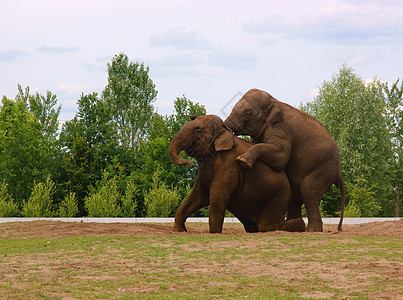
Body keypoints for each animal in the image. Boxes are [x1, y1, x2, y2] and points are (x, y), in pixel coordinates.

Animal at [168, 113, 306, 233]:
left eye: (198, 131)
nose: (191, 164)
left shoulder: (229, 164)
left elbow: (218, 195)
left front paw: (214, 233)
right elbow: (198, 195)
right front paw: (179, 231)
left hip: (277, 198)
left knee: (267, 226)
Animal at [226, 89, 346, 232]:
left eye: (248, 113)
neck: (275, 101)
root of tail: (338, 172)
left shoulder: (282, 129)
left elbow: (280, 157)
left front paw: (242, 161)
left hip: (324, 168)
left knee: (308, 190)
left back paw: (312, 230)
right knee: (295, 195)